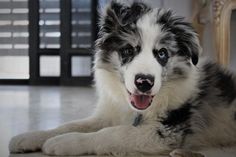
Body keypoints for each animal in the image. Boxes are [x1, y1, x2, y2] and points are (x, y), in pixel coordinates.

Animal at [8, 0, 236, 156]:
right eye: (127, 50)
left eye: (162, 54)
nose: (144, 82)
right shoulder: (109, 113)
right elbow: (72, 124)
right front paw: (31, 137)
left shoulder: (167, 130)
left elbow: (112, 133)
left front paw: (63, 142)